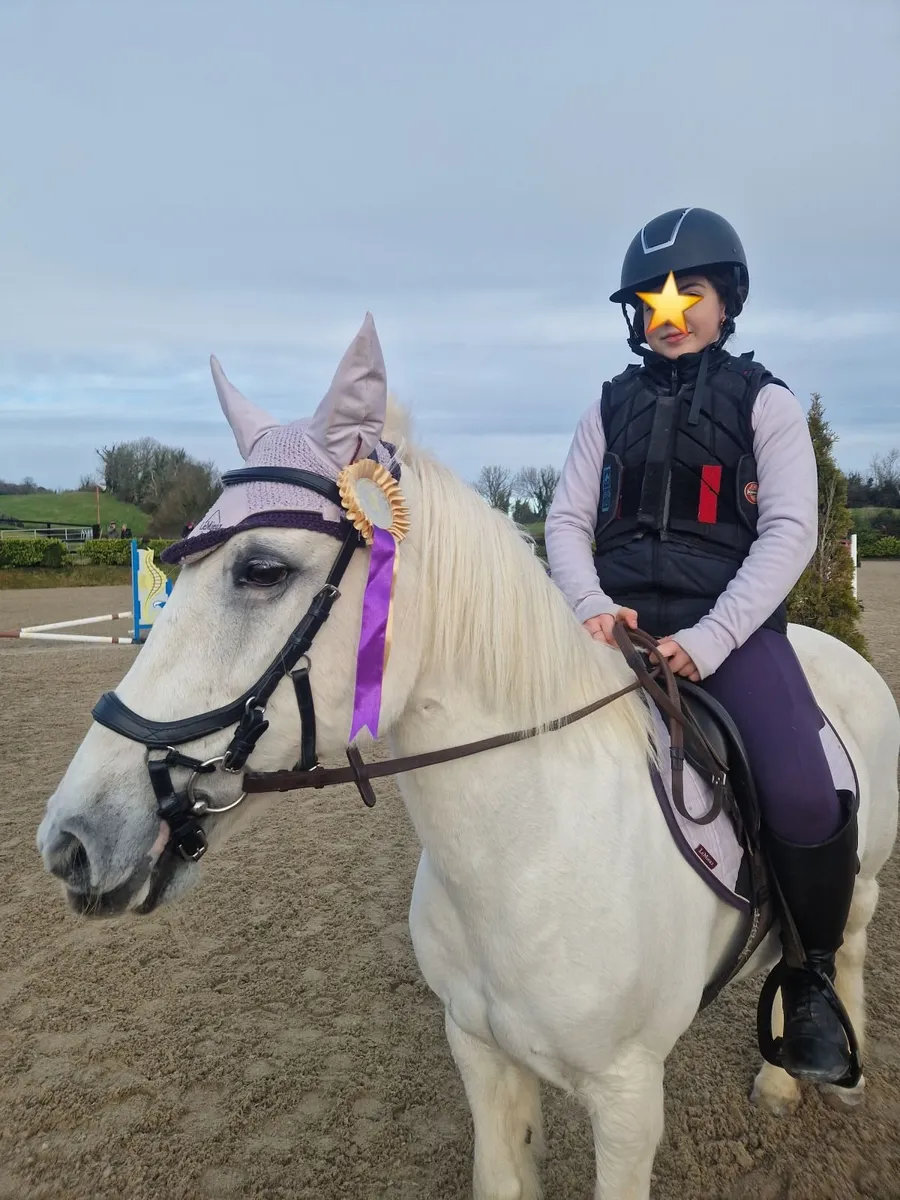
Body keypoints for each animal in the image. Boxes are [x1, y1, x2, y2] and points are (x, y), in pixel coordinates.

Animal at [37, 316, 900, 1199]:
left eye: (263, 570)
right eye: (179, 566)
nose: (70, 842)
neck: (526, 855)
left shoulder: (628, 1100)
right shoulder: (482, 1056)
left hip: (858, 879)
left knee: (839, 943)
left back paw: (826, 1064)